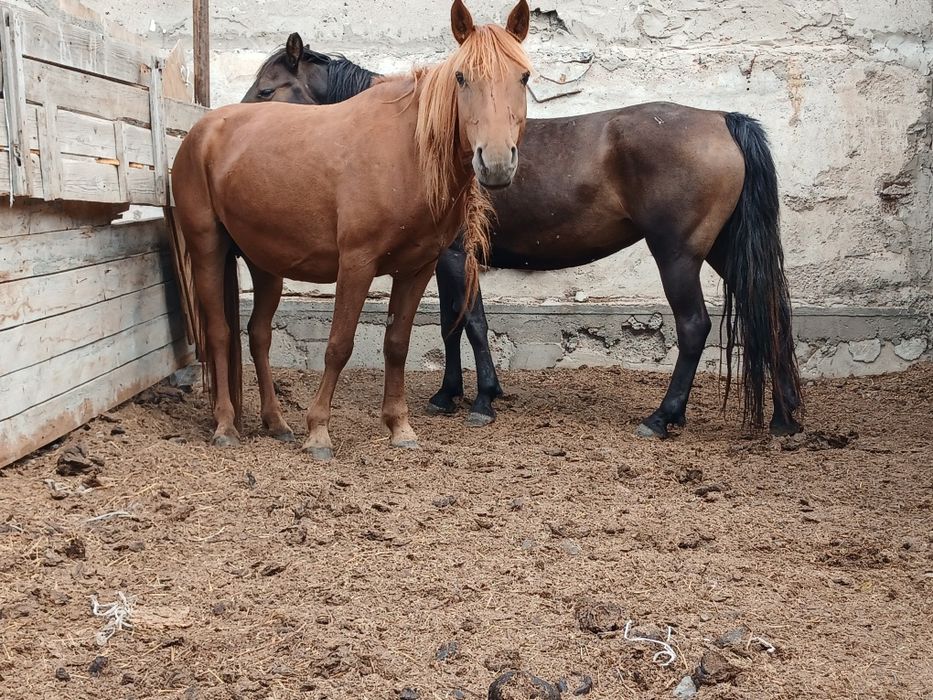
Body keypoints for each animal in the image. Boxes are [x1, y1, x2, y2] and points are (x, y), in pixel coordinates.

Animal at [171, 0, 532, 459]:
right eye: (461, 77)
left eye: (524, 77)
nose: (497, 162)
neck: (406, 152)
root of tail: (201, 131)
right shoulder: (357, 264)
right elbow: (339, 345)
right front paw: (319, 432)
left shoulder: (417, 269)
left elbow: (396, 345)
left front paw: (399, 426)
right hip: (207, 249)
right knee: (218, 333)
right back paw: (224, 425)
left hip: (264, 263)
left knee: (258, 335)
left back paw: (276, 423)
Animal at [243, 32, 803, 440]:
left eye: (267, 89)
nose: (241, 121)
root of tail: (722, 119)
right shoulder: (443, 260)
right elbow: (451, 325)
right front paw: (449, 395)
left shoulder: (453, 256)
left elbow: (470, 324)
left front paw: (483, 399)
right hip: (724, 251)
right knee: (769, 312)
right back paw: (784, 420)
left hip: (678, 255)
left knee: (693, 327)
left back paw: (662, 417)